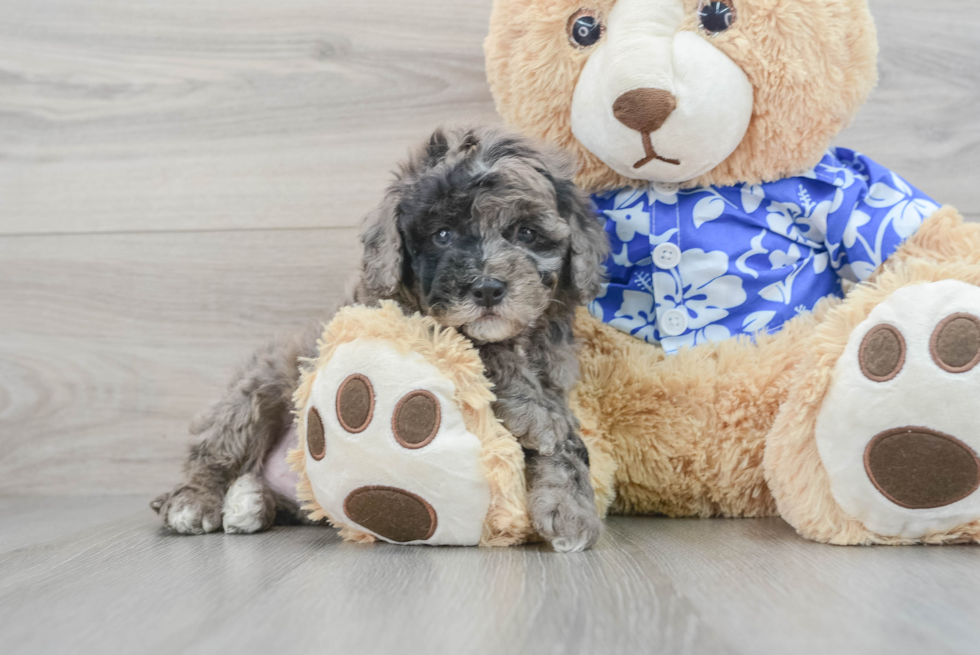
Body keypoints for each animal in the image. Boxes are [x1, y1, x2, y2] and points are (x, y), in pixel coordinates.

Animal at [151, 124, 612, 552]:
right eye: (442, 234)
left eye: (527, 233)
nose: (486, 289)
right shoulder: (397, 315)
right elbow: (482, 351)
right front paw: (539, 415)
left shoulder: (553, 373)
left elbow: (567, 444)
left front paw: (570, 508)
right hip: (256, 390)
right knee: (216, 450)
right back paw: (195, 501)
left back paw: (248, 503)